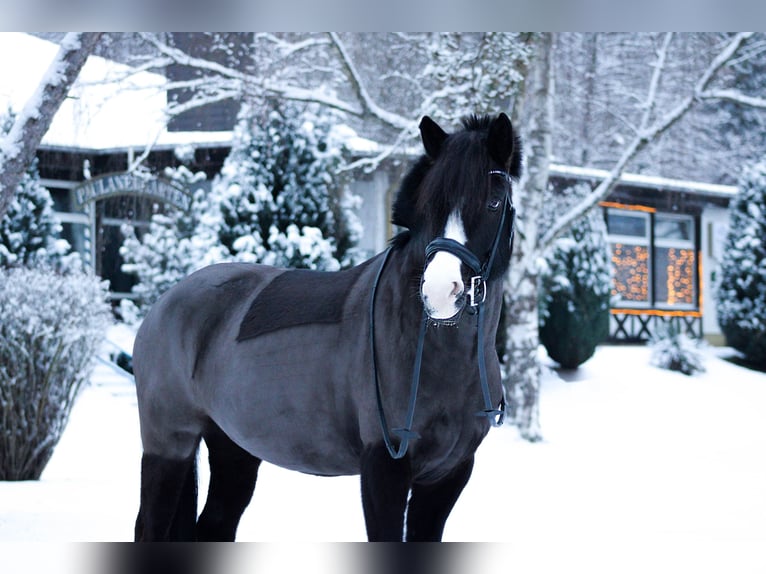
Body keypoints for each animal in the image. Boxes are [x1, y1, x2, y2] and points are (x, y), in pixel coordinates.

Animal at [133, 112, 522, 542]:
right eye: (429, 204)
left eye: (494, 201)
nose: (440, 290)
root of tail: (164, 304)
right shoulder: (383, 467)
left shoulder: (448, 475)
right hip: (169, 446)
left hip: (233, 448)